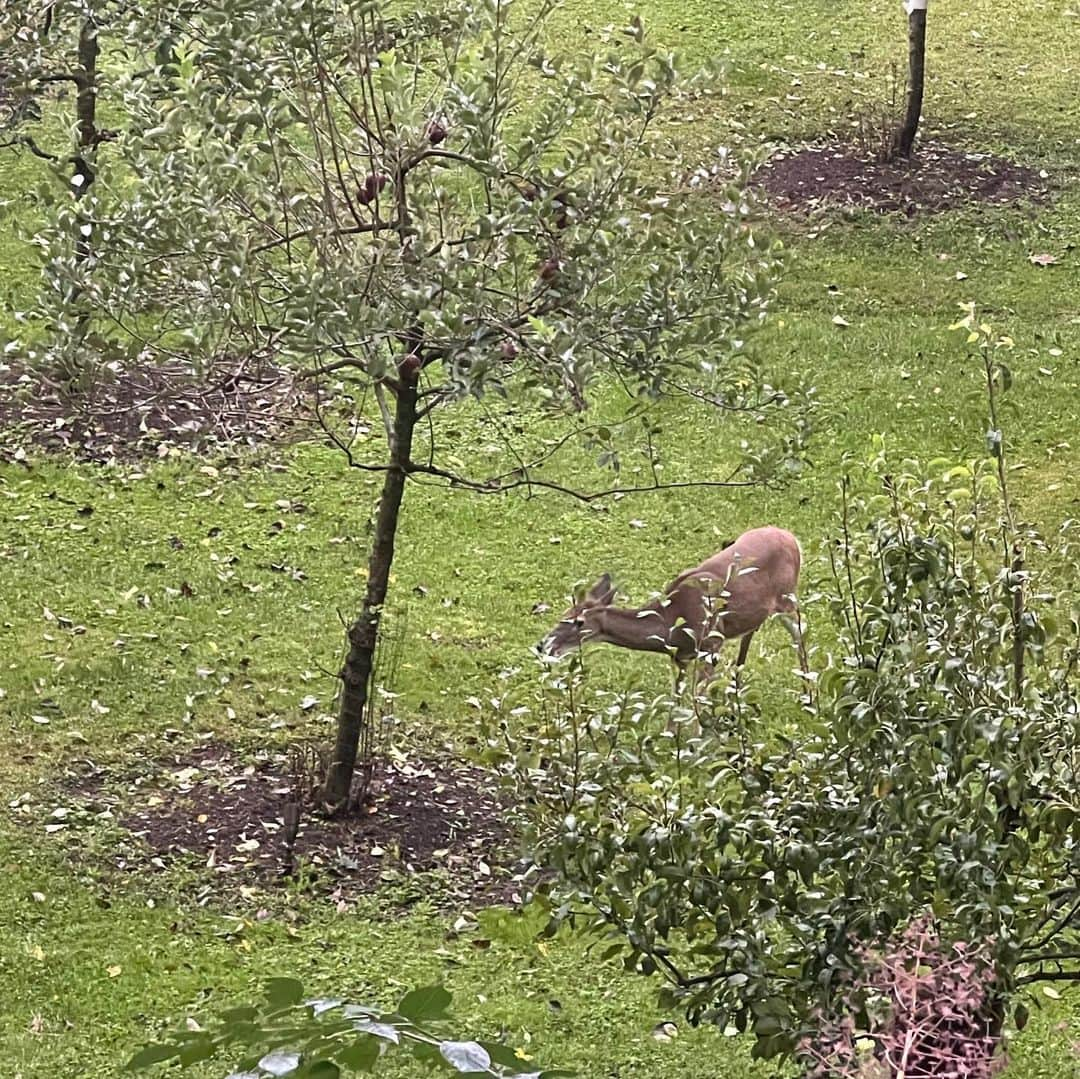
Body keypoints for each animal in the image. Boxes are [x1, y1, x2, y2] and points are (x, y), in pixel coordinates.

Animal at [537, 524, 803, 691]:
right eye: (563, 614)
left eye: (579, 622)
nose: (543, 645)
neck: (671, 621)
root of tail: (792, 537)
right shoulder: (681, 657)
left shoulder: (711, 644)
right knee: (752, 631)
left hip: (787, 597)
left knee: (800, 630)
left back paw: (807, 691)